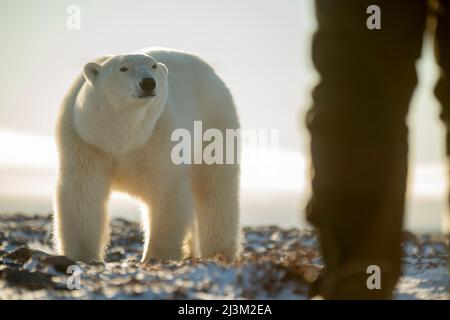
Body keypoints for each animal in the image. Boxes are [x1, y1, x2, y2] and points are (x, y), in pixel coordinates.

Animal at [52, 47, 241, 262]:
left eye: (154, 65)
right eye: (123, 68)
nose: (148, 82)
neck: (120, 138)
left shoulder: (161, 138)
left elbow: (166, 191)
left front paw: (157, 256)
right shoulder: (85, 142)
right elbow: (82, 192)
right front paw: (82, 255)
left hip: (213, 126)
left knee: (215, 189)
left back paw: (219, 253)